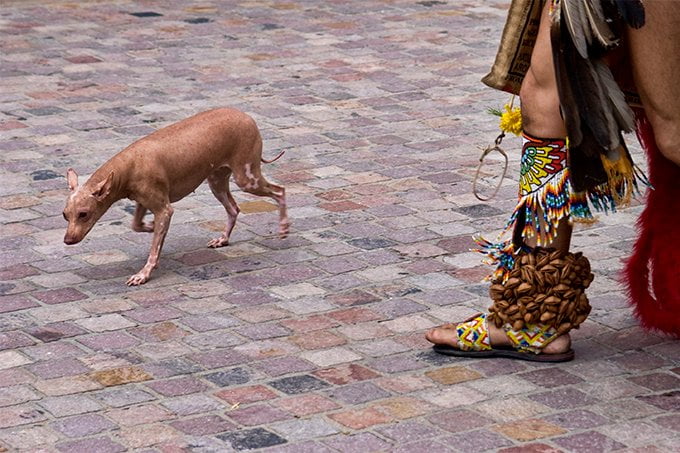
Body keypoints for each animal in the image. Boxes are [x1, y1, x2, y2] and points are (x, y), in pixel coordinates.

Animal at [61, 107, 286, 284]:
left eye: (83, 214)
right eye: (65, 215)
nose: (67, 240)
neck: (130, 164)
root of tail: (246, 115)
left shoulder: (164, 208)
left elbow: (154, 247)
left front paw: (143, 274)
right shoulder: (143, 203)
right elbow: (137, 225)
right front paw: (151, 227)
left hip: (247, 179)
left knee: (280, 191)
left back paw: (284, 228)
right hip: (217, 182)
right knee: (233, 208)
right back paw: (223, 239)